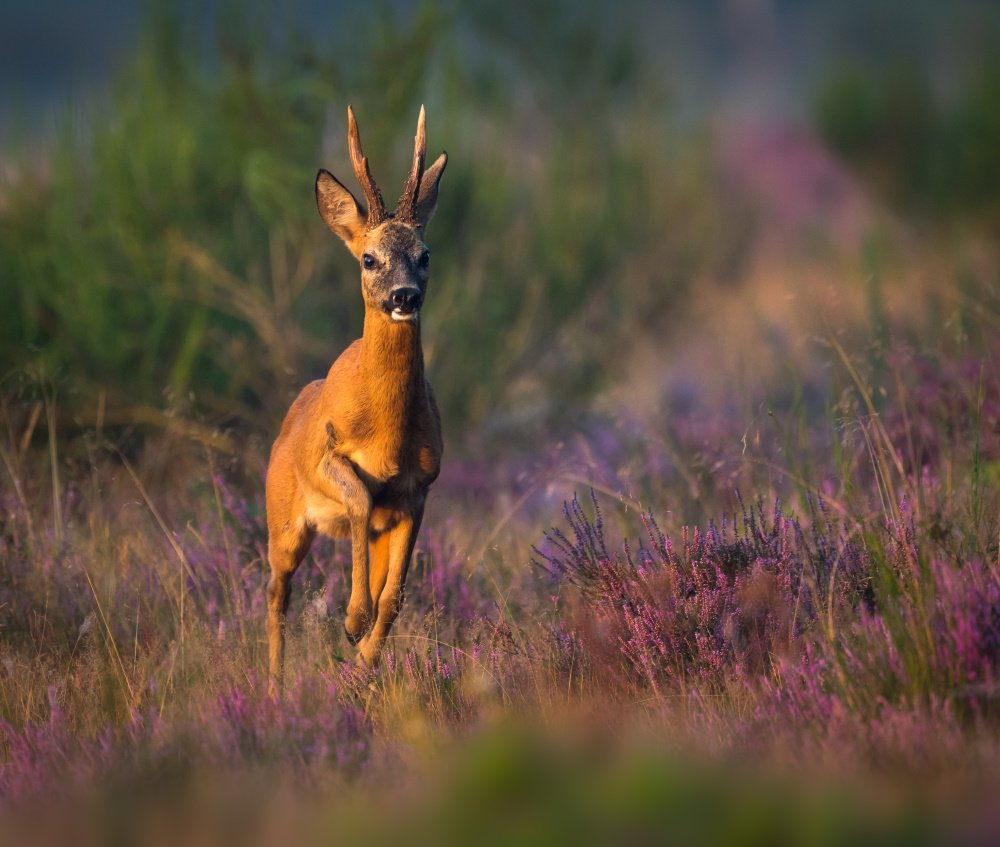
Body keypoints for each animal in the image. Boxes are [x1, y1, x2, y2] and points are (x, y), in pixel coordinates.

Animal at [270, 106, 450, 692]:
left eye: (424, 254)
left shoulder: (420, 488)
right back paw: (273, 684)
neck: (388, 435)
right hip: (282, 518)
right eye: (369, 259)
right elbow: (358, 497)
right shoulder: (331, 458)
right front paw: (352, 621)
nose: (404, 295)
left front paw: (364, 656)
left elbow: (395, 596)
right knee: (275, 592)